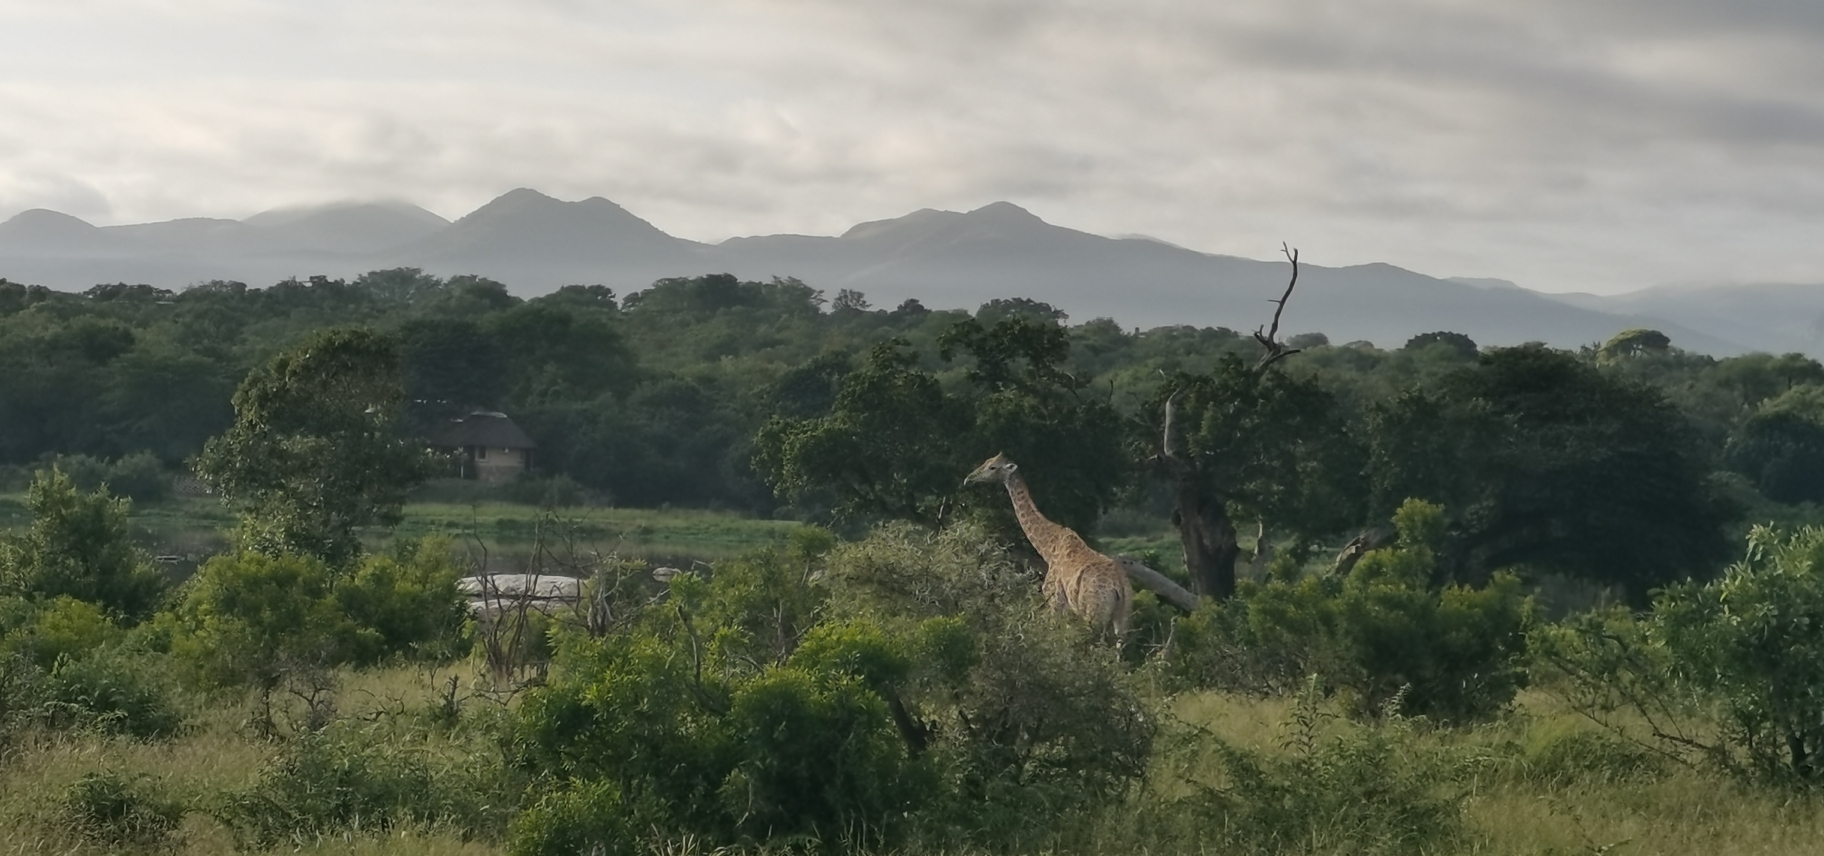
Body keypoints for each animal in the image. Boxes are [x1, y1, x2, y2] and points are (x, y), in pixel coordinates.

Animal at [970, 450, 1123, 638]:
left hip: (1094, 615)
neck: (1049, 549)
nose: (969, 478)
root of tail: (1119, 587)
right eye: (986, 462)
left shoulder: (1054, 599)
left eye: (992, 467)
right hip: (1122, 619)